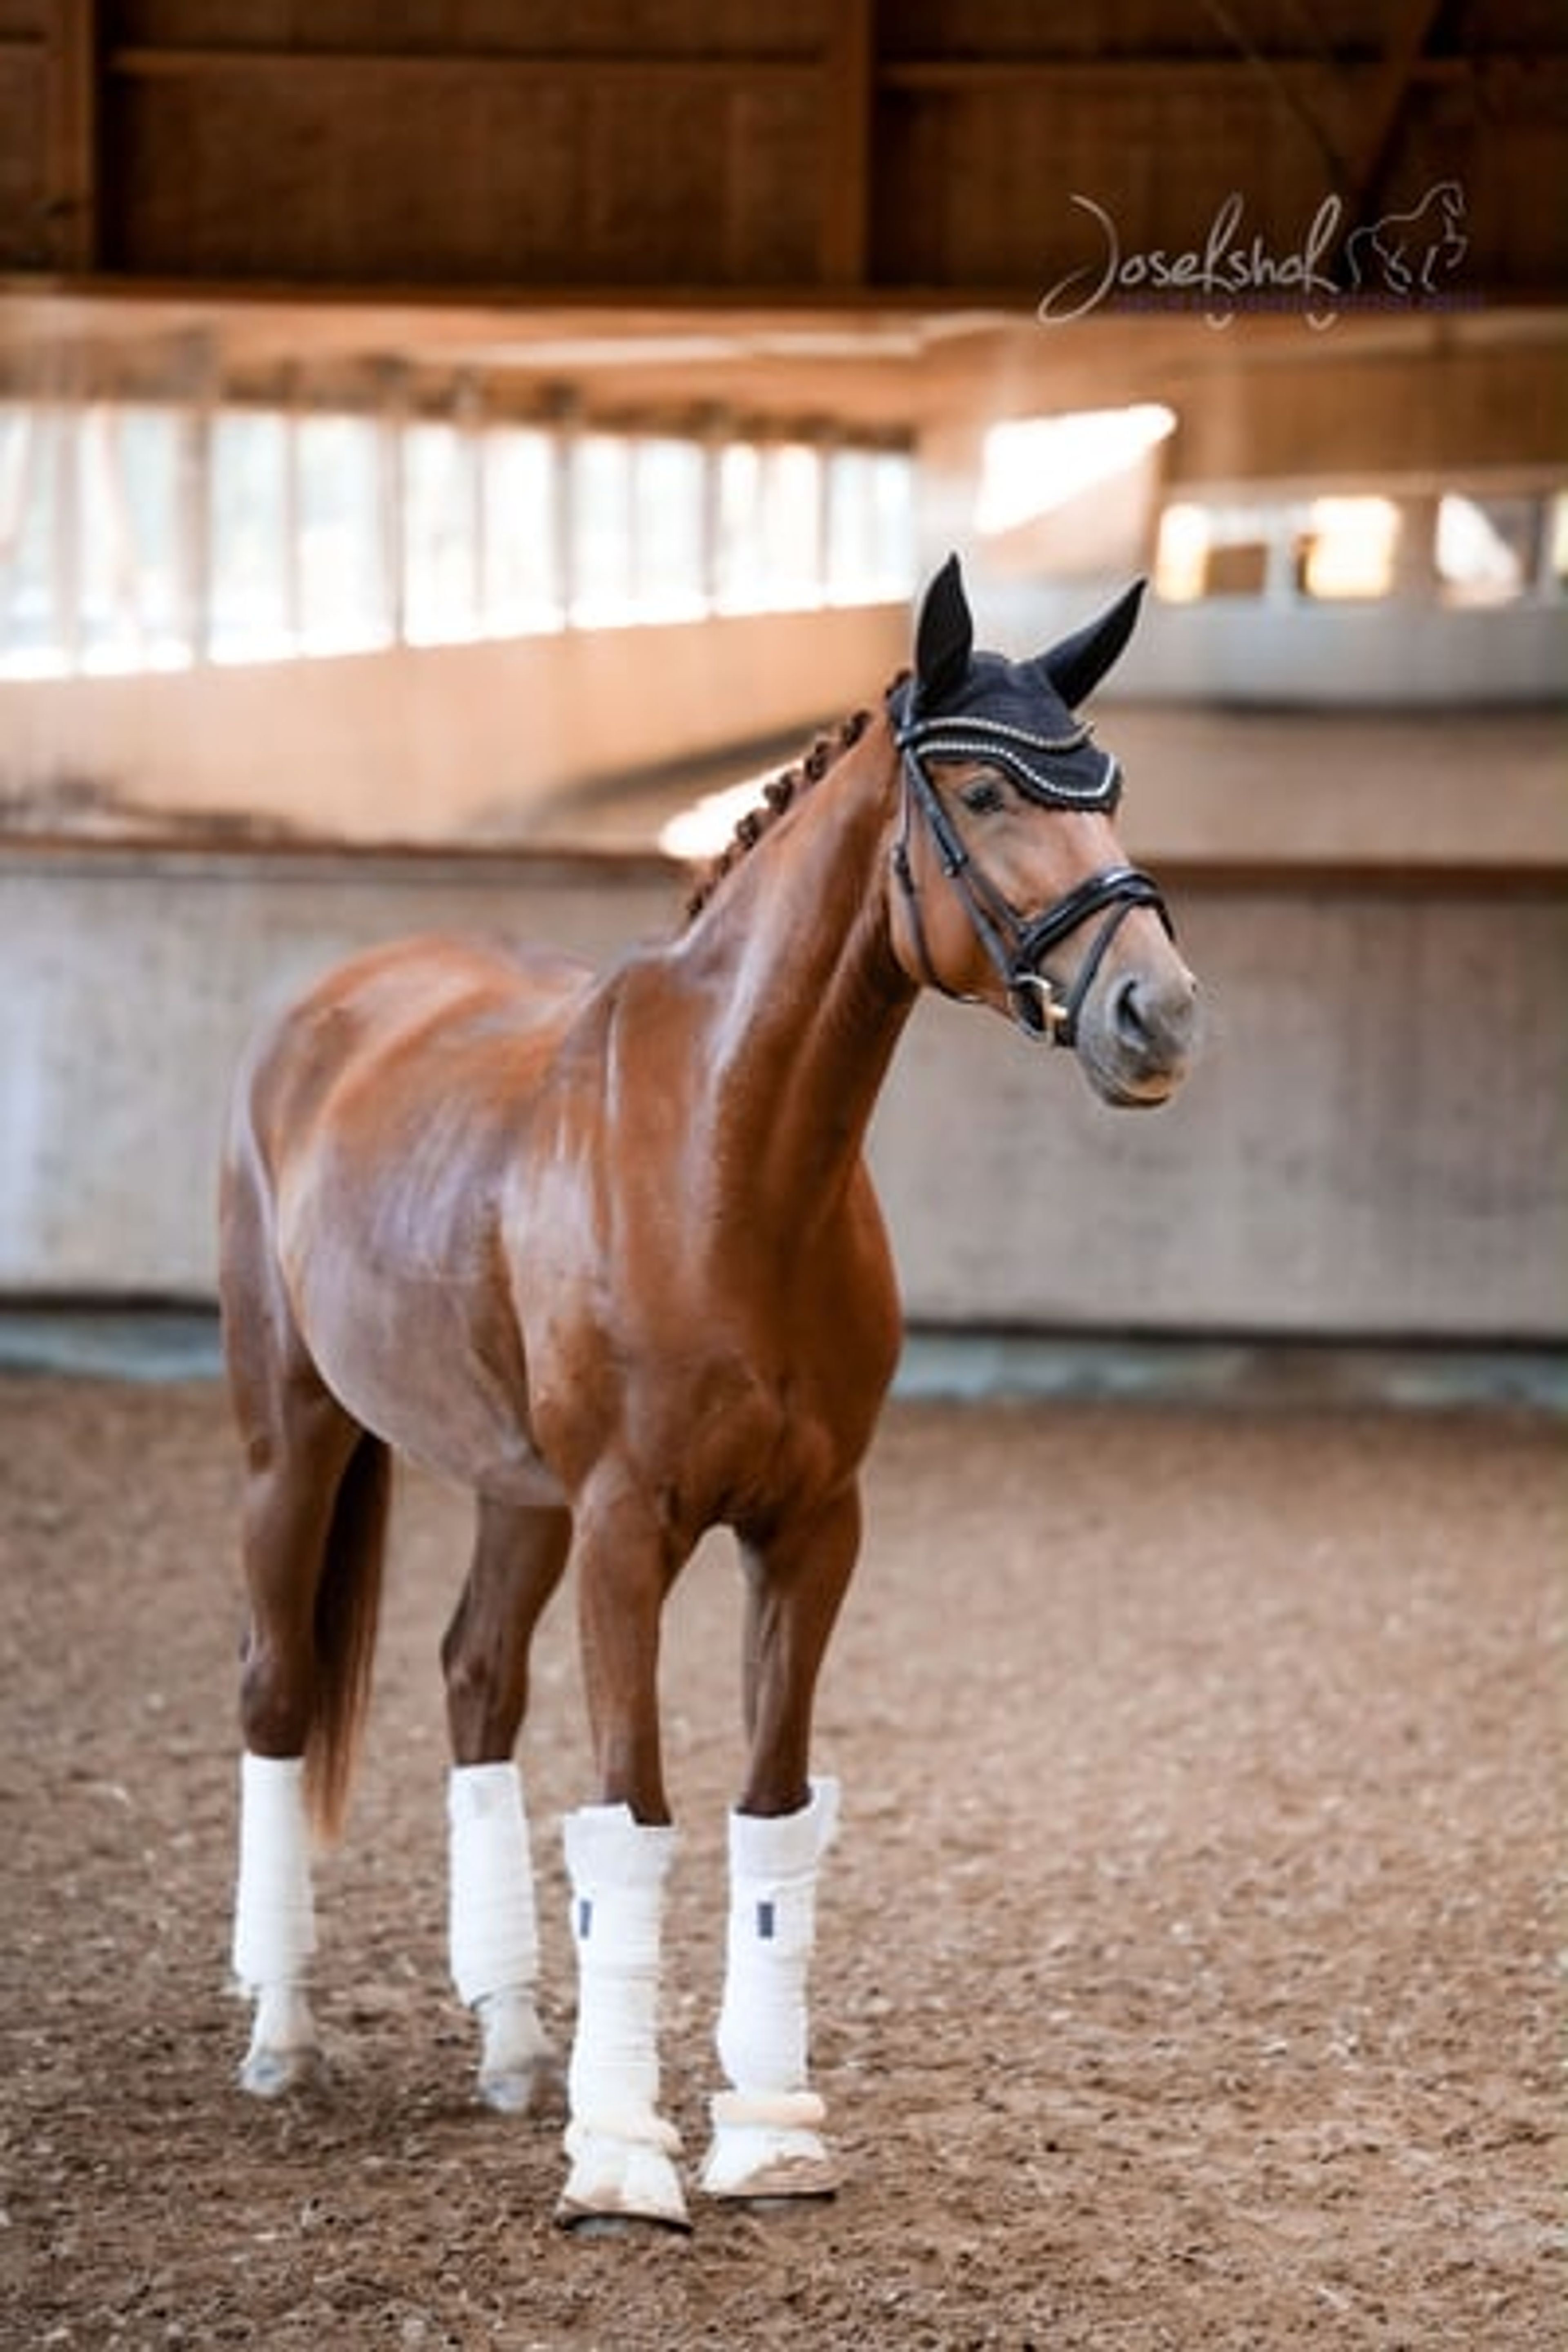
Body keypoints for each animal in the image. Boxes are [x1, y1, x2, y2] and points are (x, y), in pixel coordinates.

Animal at [219, 552, 1200, 2232]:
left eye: (1111, 783)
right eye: (983, 790)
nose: (1159, 1009)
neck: (726, 1162)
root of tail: (328, 1002)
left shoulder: (809, 1528)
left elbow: (770, 1815)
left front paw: (766, 2135)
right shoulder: (631, 1529)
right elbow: (638, 1822)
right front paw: (623, 2160)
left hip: (515, 1491)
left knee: (476, 1680)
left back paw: (512, 2046)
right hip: (297, 1440)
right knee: (279, 1691)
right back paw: (285, 2037)